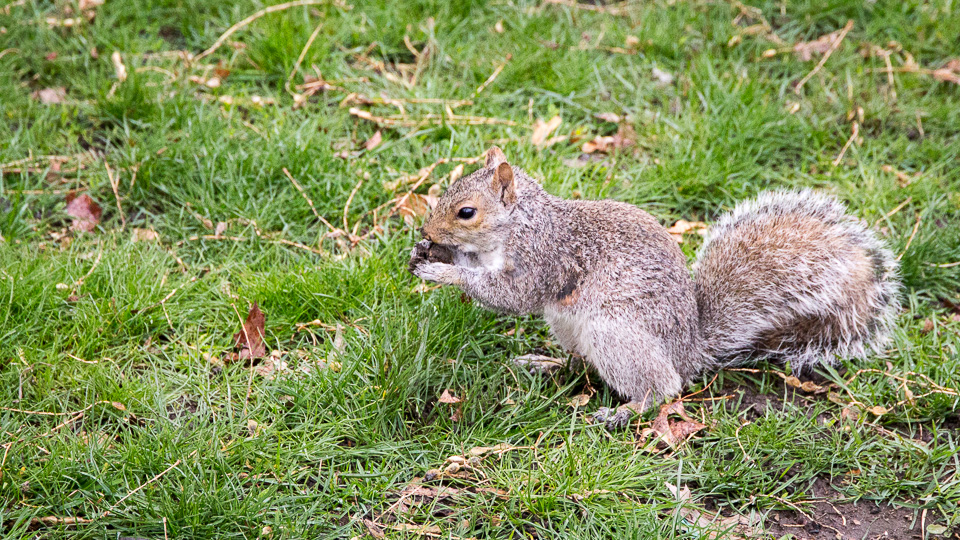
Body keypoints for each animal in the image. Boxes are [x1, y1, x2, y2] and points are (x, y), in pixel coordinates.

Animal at [406, 147, 900, 426]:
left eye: (466, 211)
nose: (427, 229)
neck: (519, 225)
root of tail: (691, 351)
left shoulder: (544, 260)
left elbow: (510, 296)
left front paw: (443, 272)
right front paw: (431, 253)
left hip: (616, 334)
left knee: (663, 388)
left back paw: (623, 411)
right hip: (571, 328)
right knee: (581, 365)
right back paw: (547, 364)